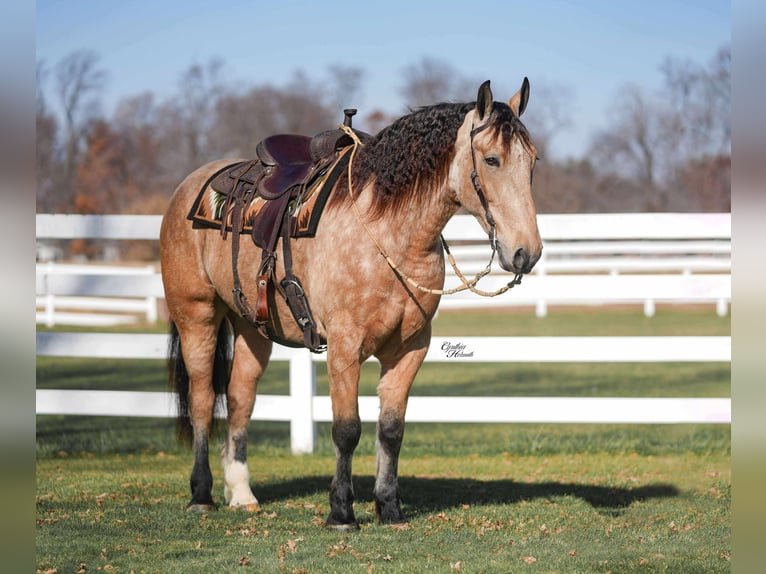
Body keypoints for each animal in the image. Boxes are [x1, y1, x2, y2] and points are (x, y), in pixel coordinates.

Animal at [159, 79, 542, 530]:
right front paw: (341, 511)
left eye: (532, 161)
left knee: (240, 399)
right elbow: (347, 429)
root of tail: (191, 184)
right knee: (203, 399)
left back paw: (241, 492)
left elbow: (391, 430)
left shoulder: (410, 349)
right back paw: (201, 494)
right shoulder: (344, 347)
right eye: (492, 159)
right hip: (196, 316)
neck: (388, 231)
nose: (526, 253)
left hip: (252, 327)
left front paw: (389, 508)